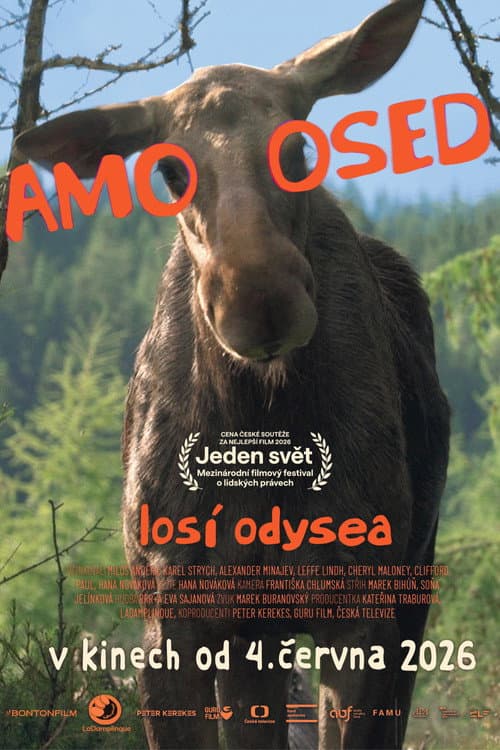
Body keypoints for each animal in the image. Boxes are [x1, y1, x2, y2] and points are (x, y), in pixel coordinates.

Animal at [14, 0, 450, 748]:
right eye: (170, 171)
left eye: (299, 146)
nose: (260, 299)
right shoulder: (178, 615)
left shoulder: (360, 610)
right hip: (257, 634)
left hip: (409, 582)